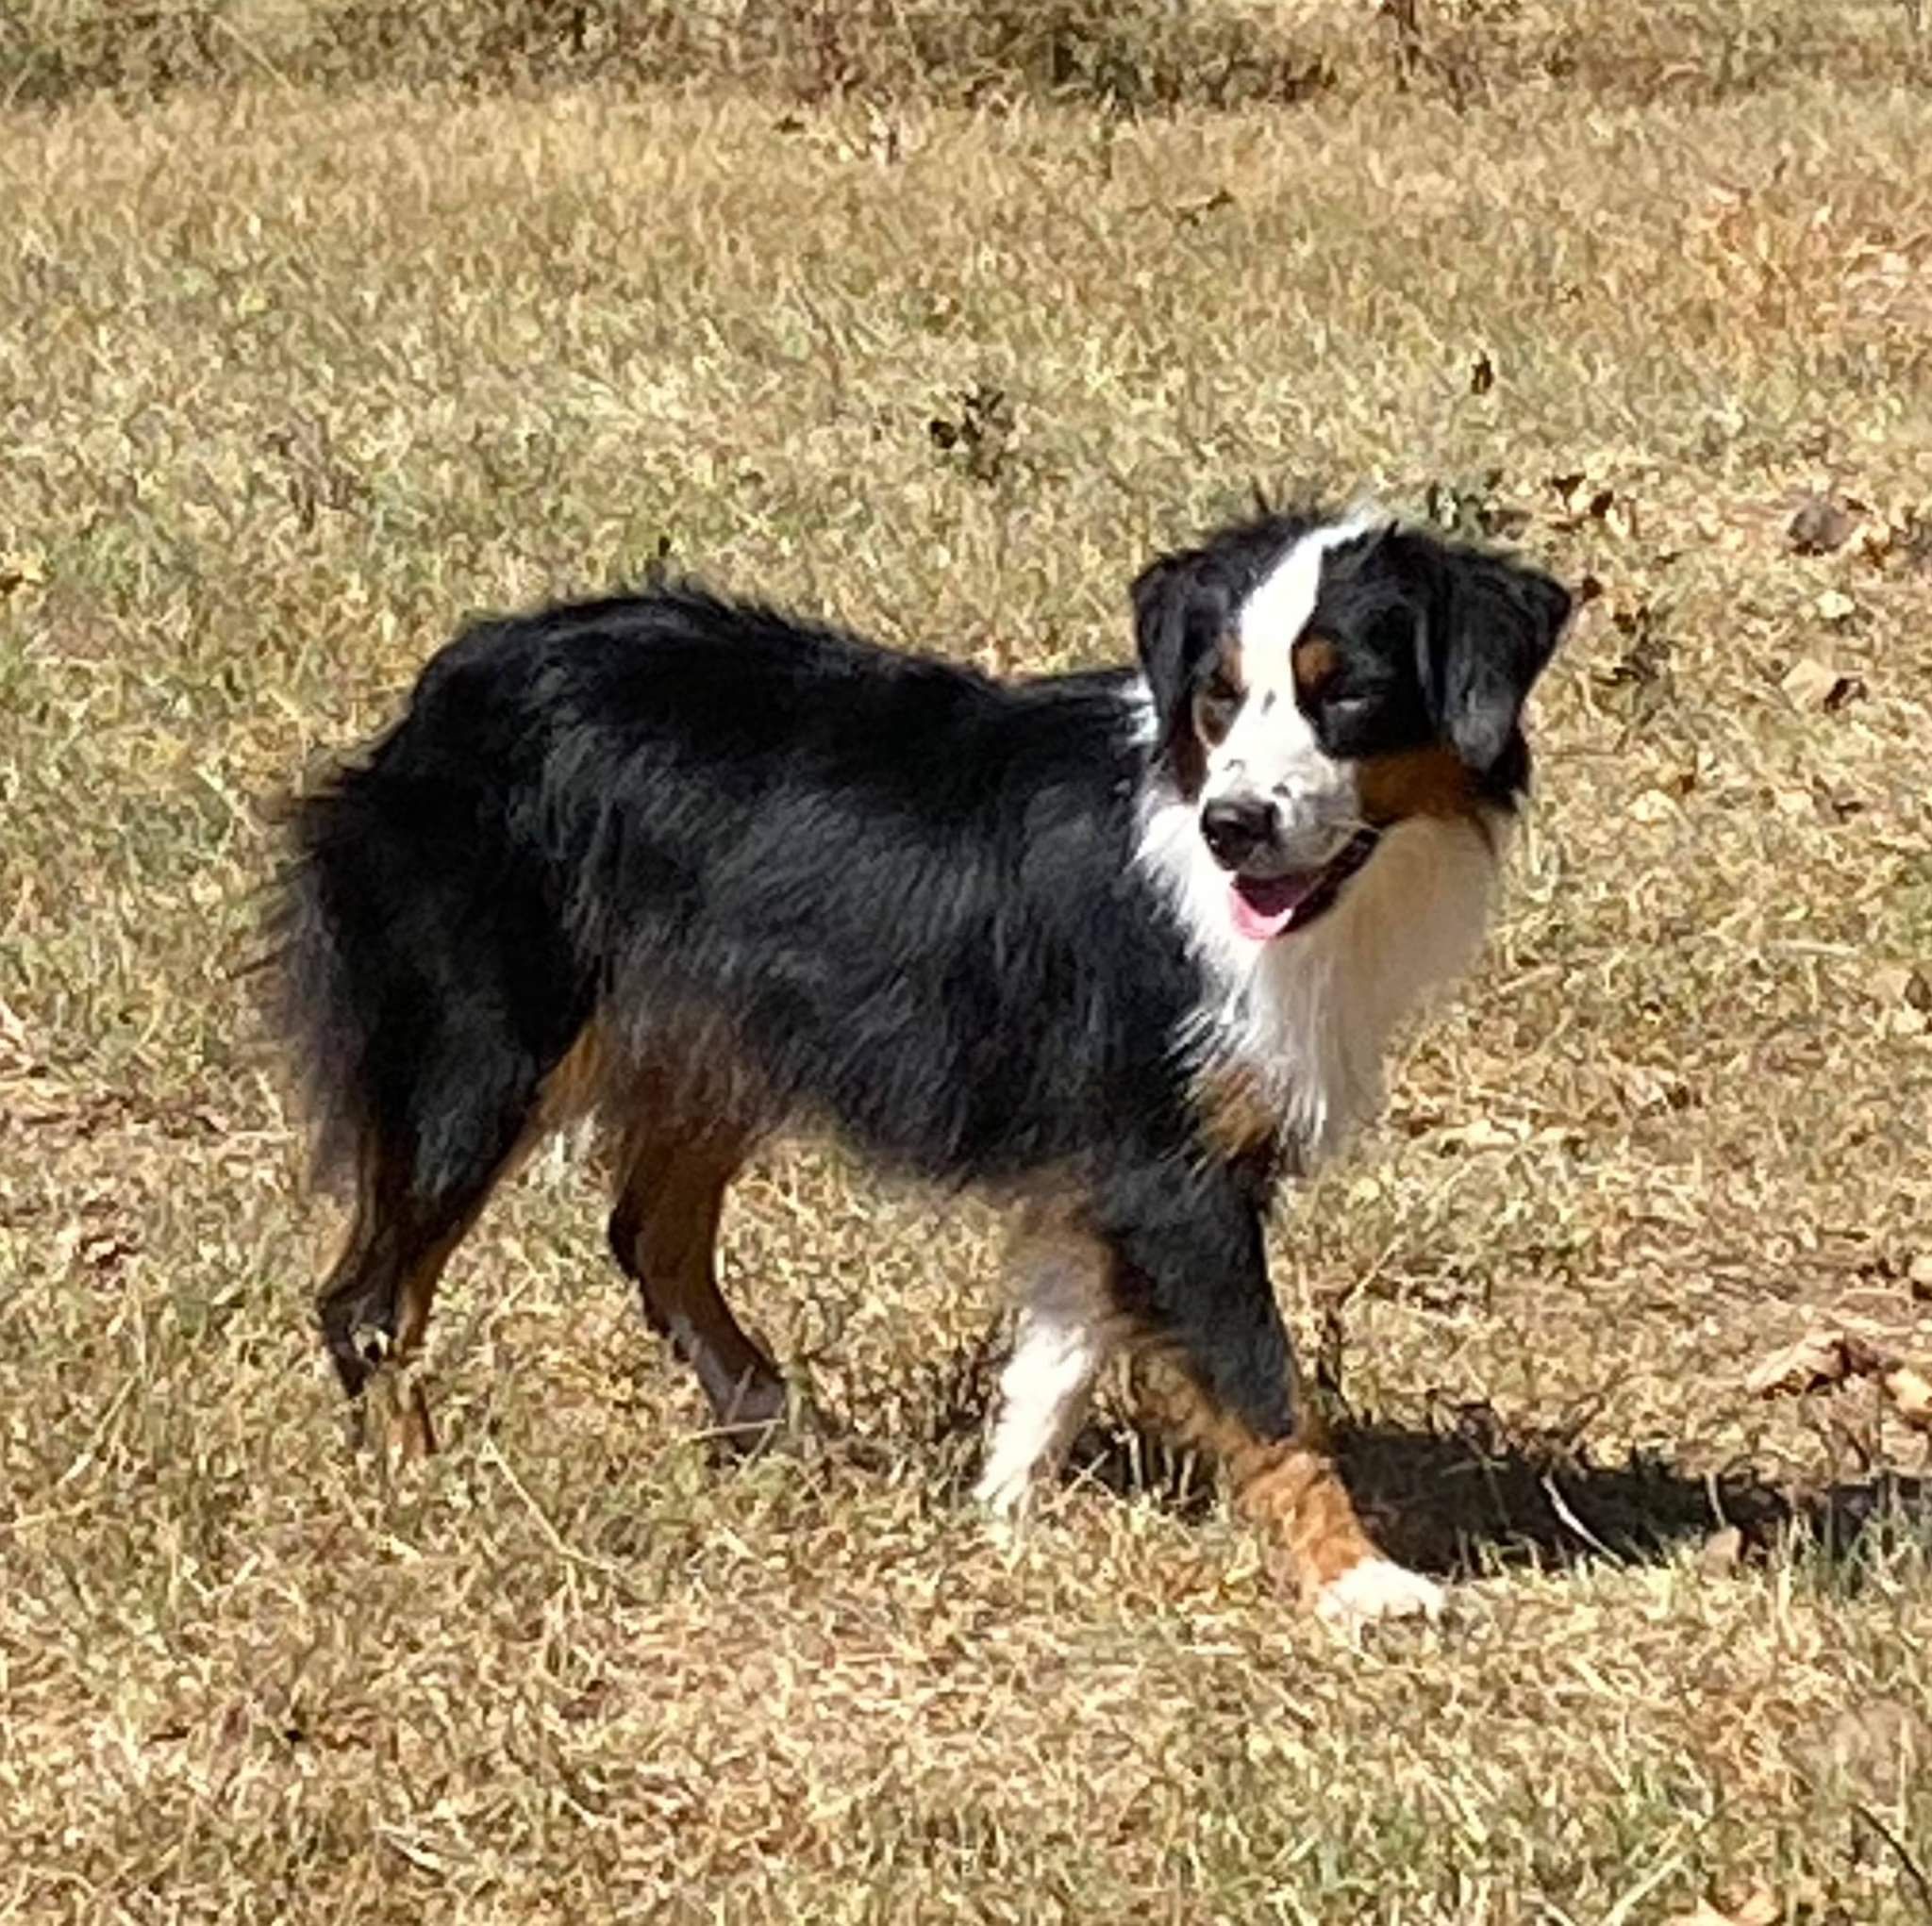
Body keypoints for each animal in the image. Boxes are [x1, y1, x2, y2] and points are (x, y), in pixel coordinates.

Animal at [273, 504, 1570, 1625]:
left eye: (1343, 691)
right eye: (1215, 698)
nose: (1233, 826)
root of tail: (451, 683)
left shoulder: (1105, 1160)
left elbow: (1055, 1353)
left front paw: (1000, 1519)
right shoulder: (1169, 1168)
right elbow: (1266, 1383)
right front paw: (1360, 1578)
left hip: (712, 1035)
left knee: (651, 1233)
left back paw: (776, 1420)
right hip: (481, 1050)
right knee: (371, 1293)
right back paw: (418, 1480)